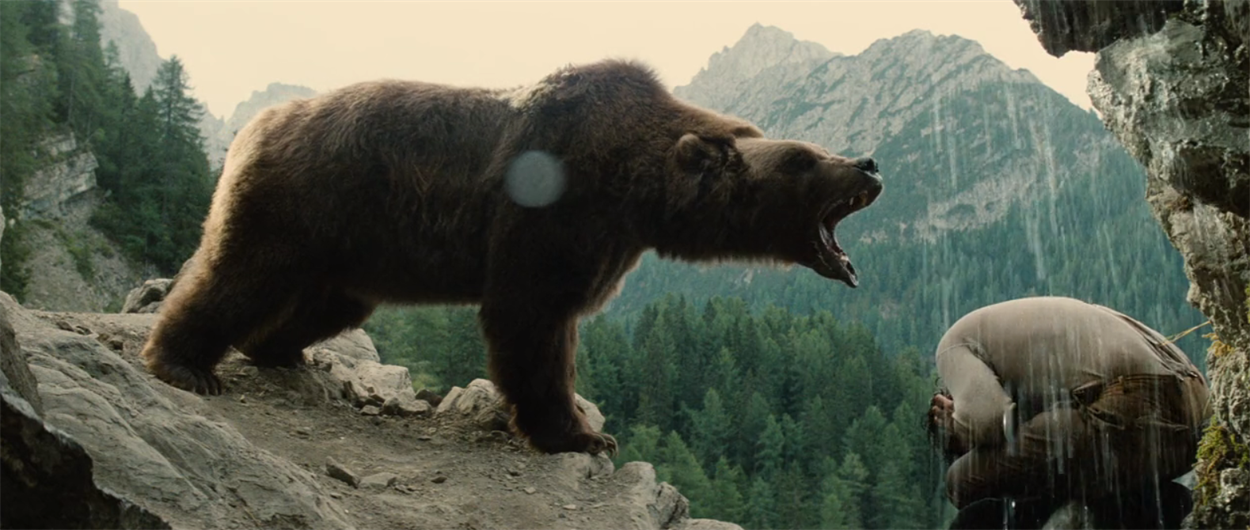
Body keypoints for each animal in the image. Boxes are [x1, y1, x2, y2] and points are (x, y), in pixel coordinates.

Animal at [140, 59, 883, 455]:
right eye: (805, 158)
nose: (870, 162)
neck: (639, 188)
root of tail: (259, 122)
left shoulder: (608, 237)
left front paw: (587, 428)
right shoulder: (551, 205)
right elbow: (532, 319)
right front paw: (578, 433)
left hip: (353, 249)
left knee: (322, 304)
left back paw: (281, 350)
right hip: (307, 200)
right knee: (240, 273)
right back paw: (183, 362)